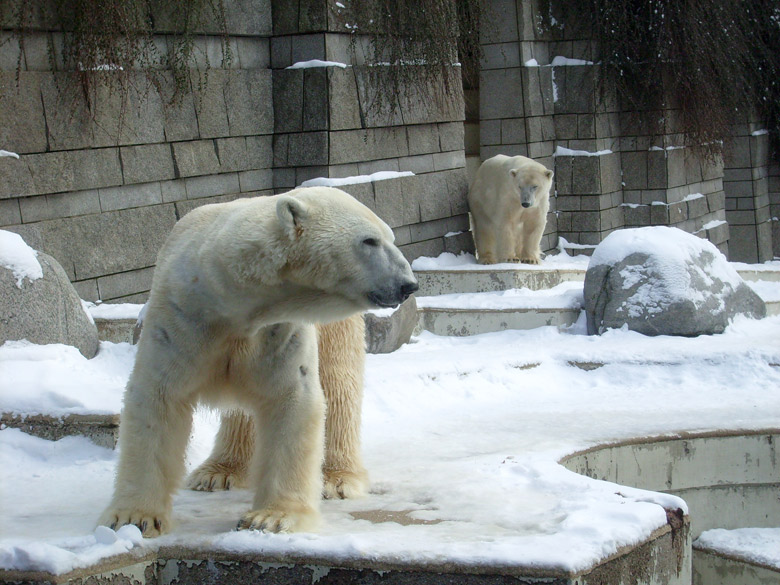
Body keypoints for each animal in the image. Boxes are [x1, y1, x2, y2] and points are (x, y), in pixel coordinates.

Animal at [100, 186, 418, 532]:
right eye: (369, 240)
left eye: (391, 237)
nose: (408, 284)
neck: (230, 300)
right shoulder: (180, 318)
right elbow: (158, 398)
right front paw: (134, 517)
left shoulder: (281, 330)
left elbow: (292, 399)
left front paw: (273, 517)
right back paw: (218, 472)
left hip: (335, 328)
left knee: (338, 385)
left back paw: (337, 479)